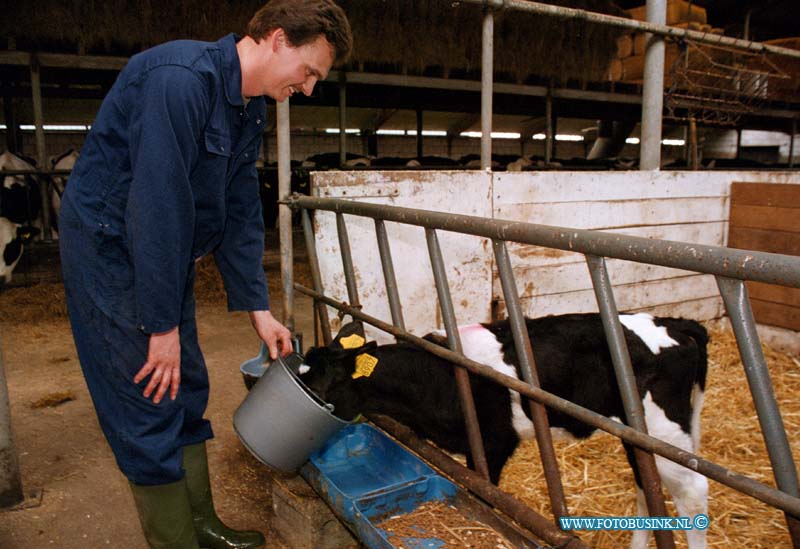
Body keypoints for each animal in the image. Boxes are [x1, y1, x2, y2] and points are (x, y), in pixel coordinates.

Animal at [304, 312, 708, 548]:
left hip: (664, 426)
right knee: (646, 485)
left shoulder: (492, 444)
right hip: (636, 434)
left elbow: (483, 497)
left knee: (692, 494)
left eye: (327, 385)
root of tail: (675, 323)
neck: (436, 377)